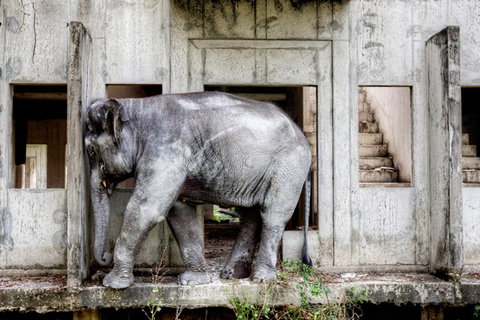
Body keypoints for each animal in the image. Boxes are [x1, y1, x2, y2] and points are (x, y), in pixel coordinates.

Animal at [84, 91, 314, 288]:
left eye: (91, 151)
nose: (104, 257)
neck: (134, 107)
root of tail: (302, 135)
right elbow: (178, 212)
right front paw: (192, 281)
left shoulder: (165, 151)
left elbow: (146, 210)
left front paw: (112, 284)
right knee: (251, 215)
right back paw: (232, 275)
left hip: (289, 167)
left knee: (272, 215)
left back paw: (260, 279)